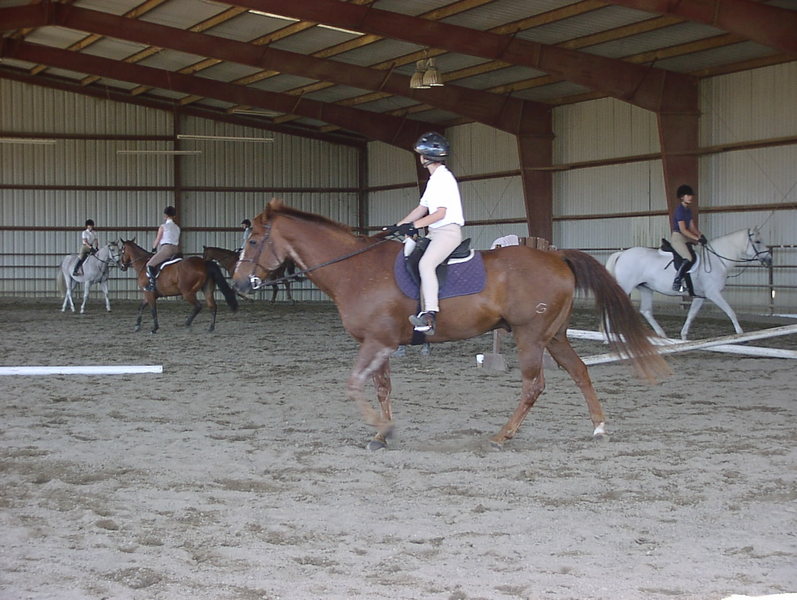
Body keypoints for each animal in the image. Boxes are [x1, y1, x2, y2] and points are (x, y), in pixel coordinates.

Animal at [233, 199, 669, 450]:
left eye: (253, 241)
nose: (238, 284)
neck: (354, 270)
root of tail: (557, 255)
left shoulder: (375, 342)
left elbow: (355, 384)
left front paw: (383, 430)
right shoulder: (381, 344)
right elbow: (381, 388)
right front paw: (382, 433)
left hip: (530, 337)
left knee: (534, 385)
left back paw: (502, 436)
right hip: (555, 337)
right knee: (580, 373)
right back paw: (598, 428)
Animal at [605, 228, 772, 340]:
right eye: (758, 242)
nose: (769, 259)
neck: (717, 260)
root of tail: (622, 253)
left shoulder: (700, 296)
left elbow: (691, 315)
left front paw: (684, 337)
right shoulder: (713, 293)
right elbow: (730, 311)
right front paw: (740, 334)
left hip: (646, 288)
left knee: (646, 311)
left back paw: (662, 335)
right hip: (625, 286)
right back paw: (608, 336)